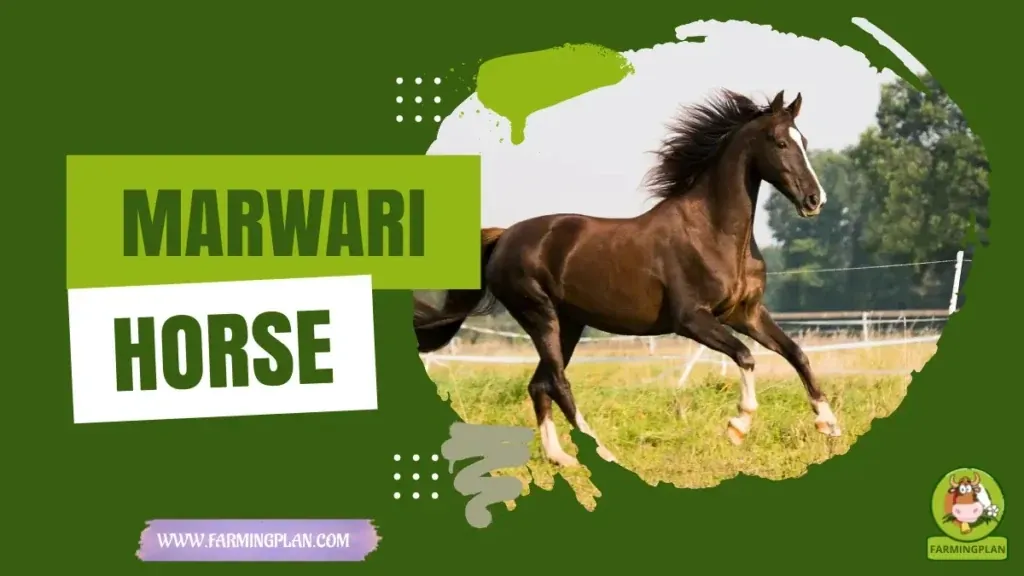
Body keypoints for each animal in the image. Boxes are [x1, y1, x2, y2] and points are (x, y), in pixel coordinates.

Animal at [414, 89, 839, 467]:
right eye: (781, 142)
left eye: (804, 141)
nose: (815, 201)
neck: (714, 233)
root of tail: (504, 237)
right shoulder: (691, 320)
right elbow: (746, 357)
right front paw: (738, 425)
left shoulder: (745, 314)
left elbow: (796, 353)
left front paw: (829, 424)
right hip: (540, 316)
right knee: (559, 384)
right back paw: (602, 452)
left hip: (569, 324)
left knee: (540, 384)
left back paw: (560, 458)